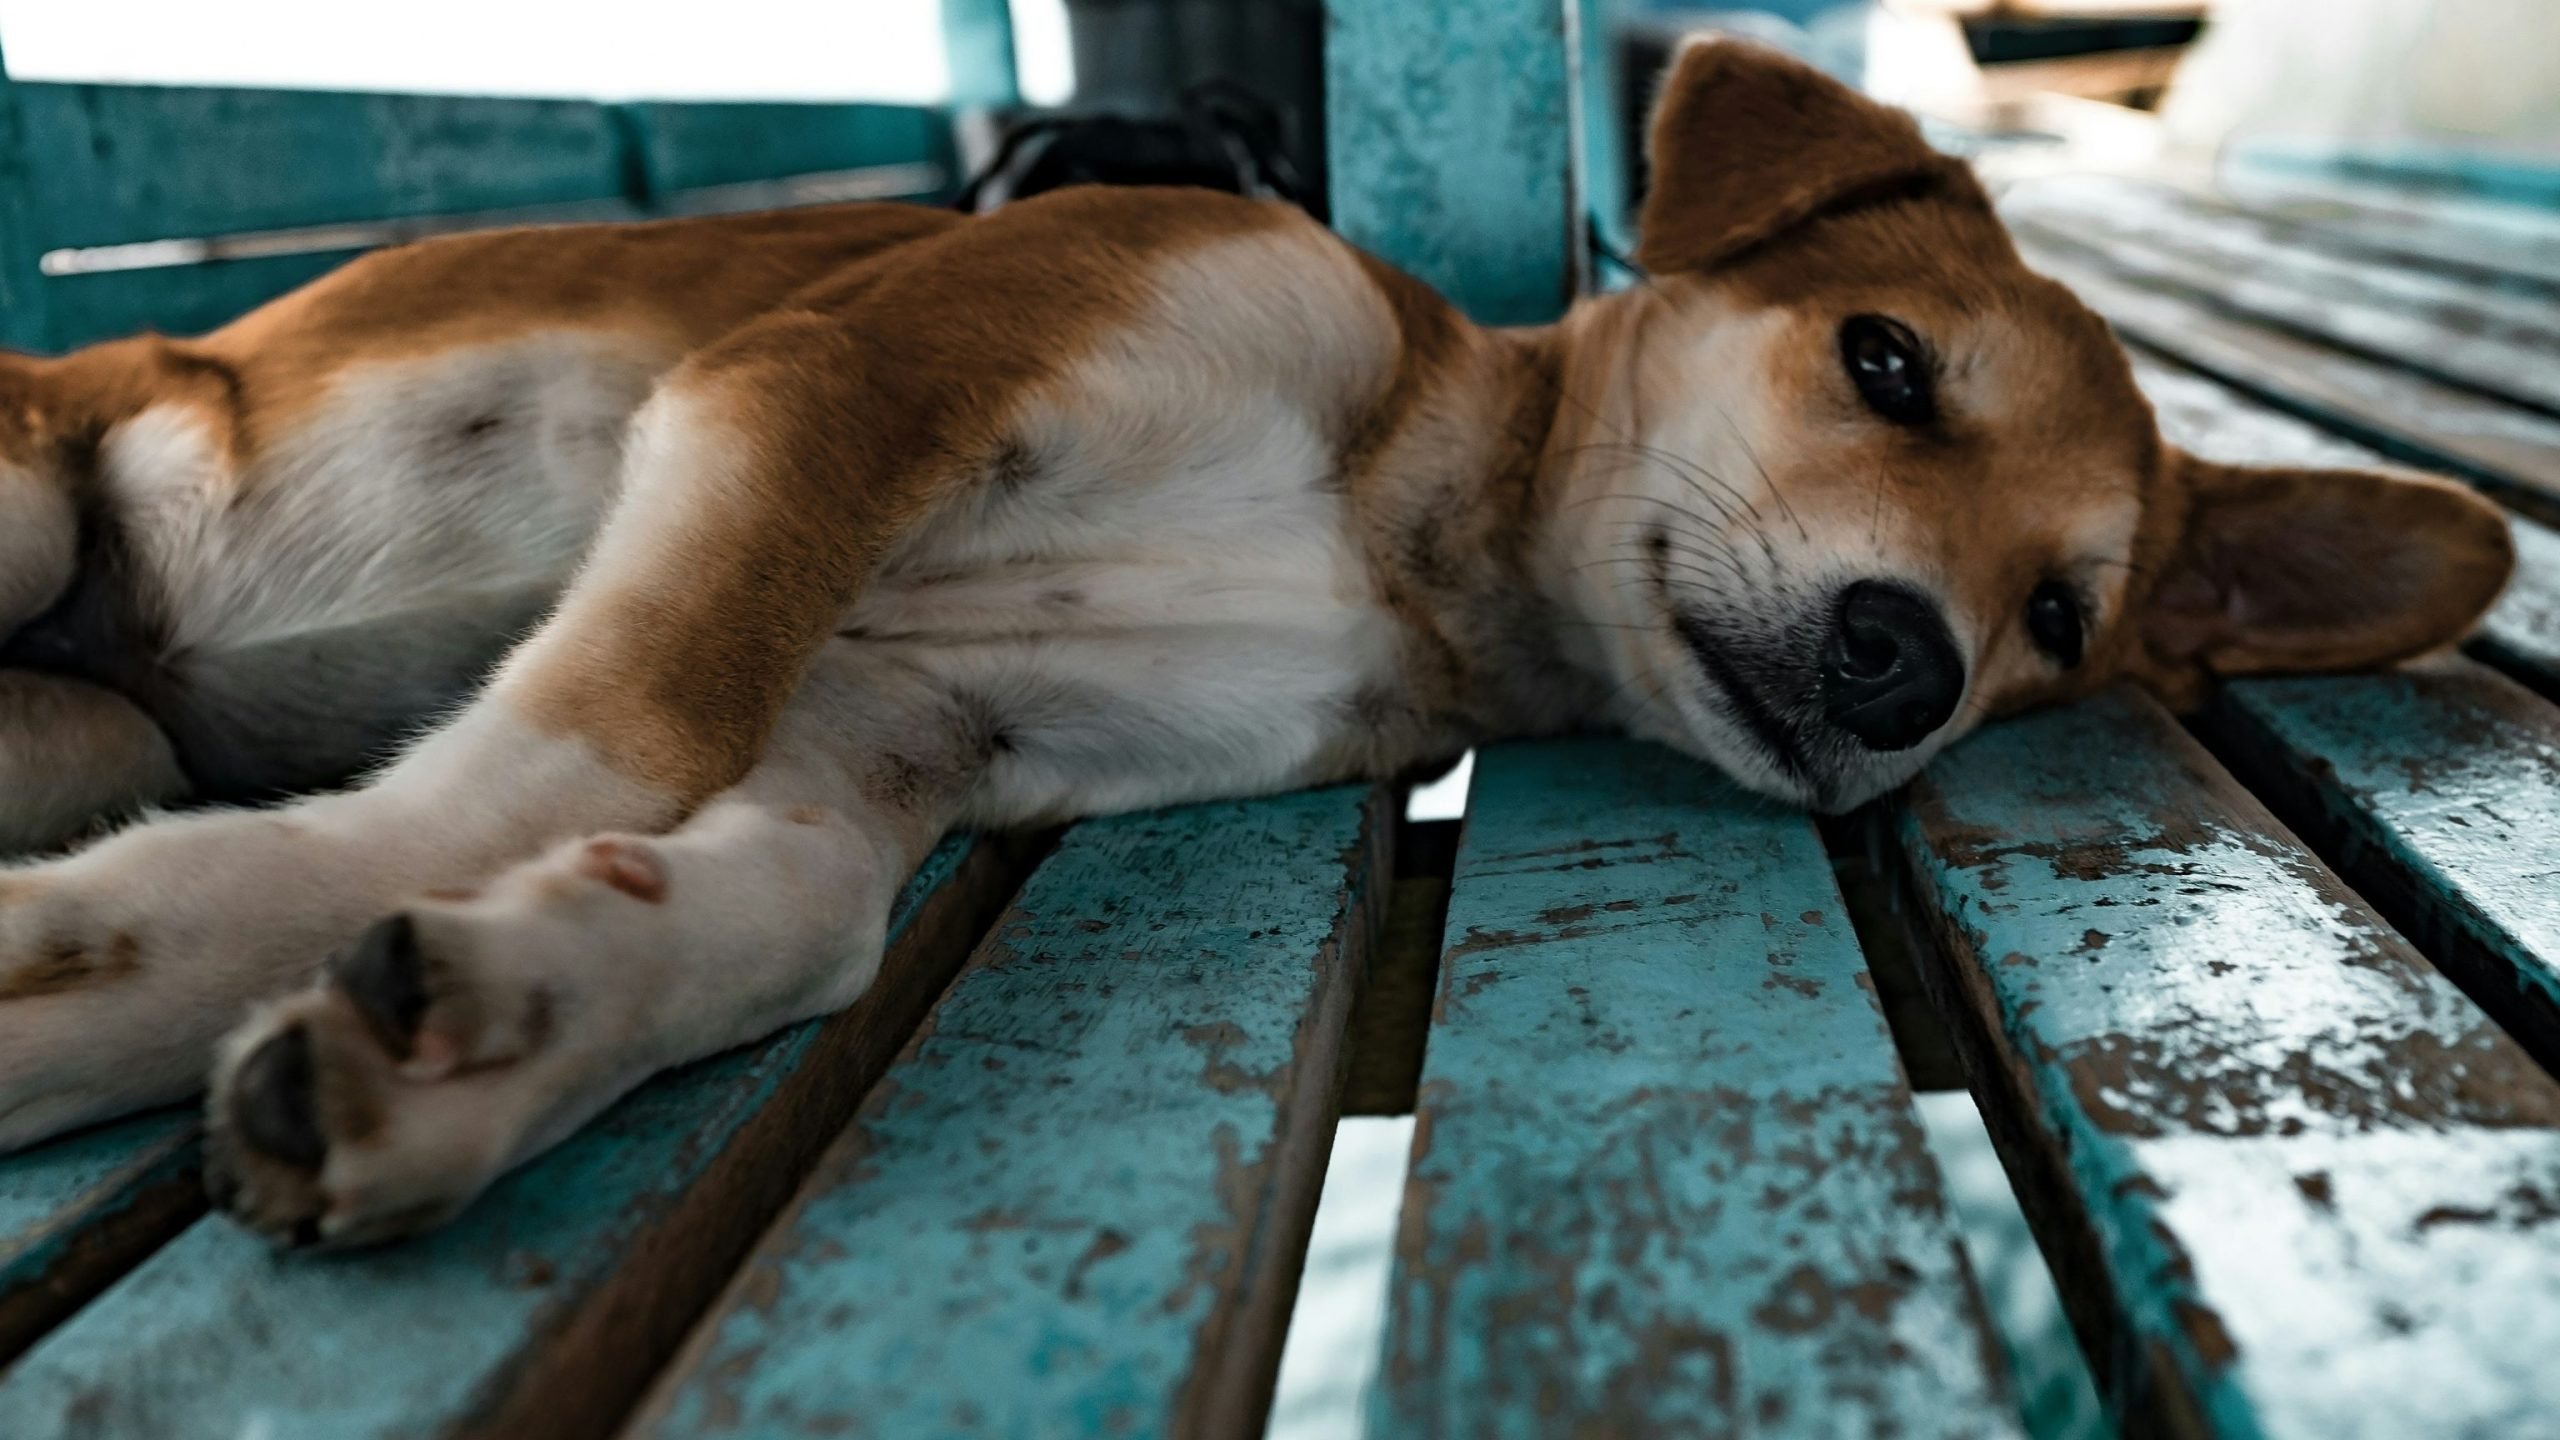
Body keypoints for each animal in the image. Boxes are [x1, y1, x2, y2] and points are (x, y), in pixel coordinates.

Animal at [0, 39, 2519, 1240]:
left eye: (2057, 617)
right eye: (1884, 363)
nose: (1909, 662)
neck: (1393, 527)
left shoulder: (904, 723)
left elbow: (780, 911)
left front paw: (492, 1026)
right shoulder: (832, 391)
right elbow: (606, 729)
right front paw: (181, 937)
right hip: (35, 496)